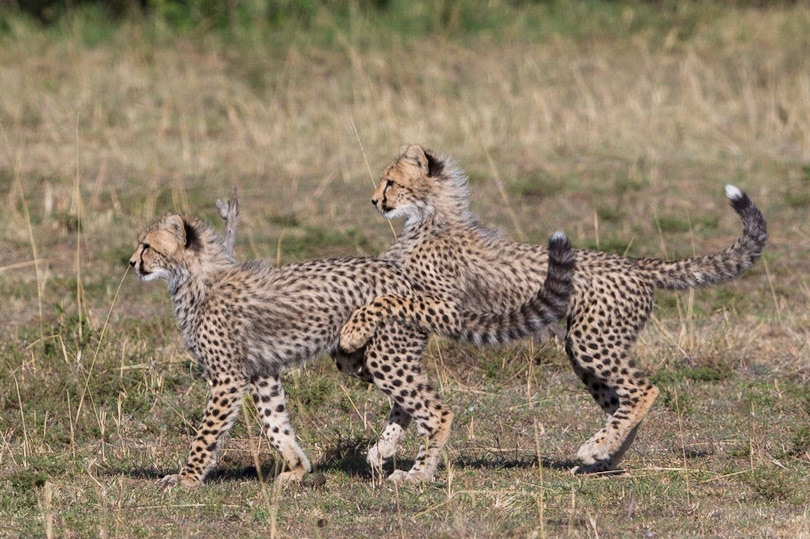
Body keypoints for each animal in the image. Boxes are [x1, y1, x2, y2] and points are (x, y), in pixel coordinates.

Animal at [128, 211, 574, 487]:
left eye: (147, 245)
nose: (131, 262)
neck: (196, 277)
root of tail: (408, 277)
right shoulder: (261, 373)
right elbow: (276, 424)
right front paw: (295, 469)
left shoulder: (228, 378)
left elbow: (206, 435)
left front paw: (186, 478)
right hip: (357, 357)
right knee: (408, 403)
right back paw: (382, 449)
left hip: (383, 353)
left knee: (436, 411)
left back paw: (418, 474)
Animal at [339, 144, 768, 475]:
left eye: (390, 181)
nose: (375, 201)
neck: (430, 216)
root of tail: (636, 262)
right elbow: (401, 402)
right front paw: (383, 447)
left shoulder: (446, 309)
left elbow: (385, 301)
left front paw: (352, 332)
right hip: (584, 348)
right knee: (622, 402)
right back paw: (600, 459)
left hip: (592, 340)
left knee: (644, 390)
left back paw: (596, 449)